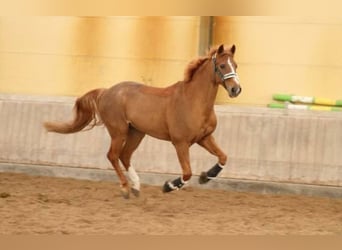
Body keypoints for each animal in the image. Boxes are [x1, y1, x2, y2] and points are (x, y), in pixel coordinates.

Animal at [44, 44, 240, 198]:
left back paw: (136, 187)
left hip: (137, 132)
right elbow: (187, 173)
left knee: (125, 155)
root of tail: (106, 92)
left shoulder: (204, 138)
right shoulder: (180, 143)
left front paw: (206, 176)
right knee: (113, 155)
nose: (236, 89)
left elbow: (223, 157)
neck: (194, 101)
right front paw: (168, 186)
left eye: (236, 65)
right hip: (119, 132)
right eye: (222, 65)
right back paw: (125, 189)